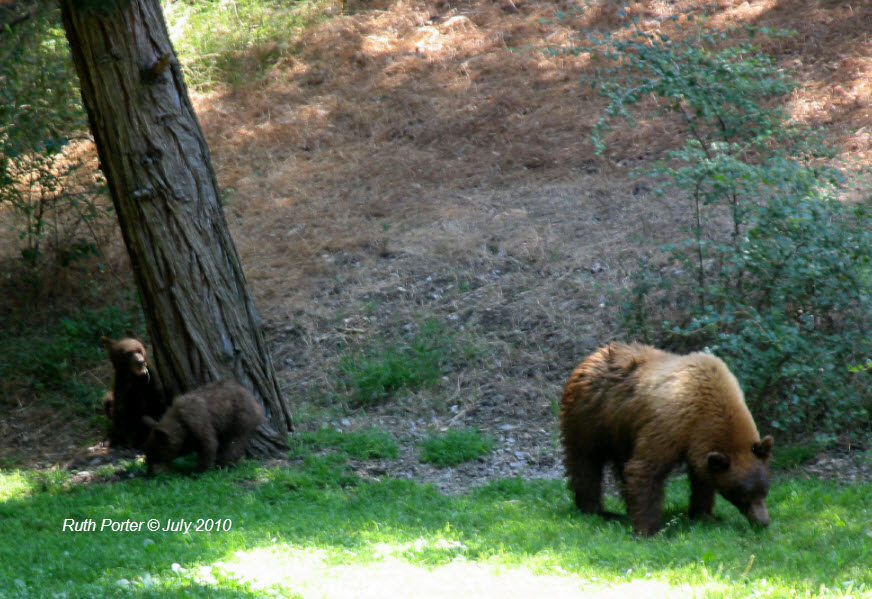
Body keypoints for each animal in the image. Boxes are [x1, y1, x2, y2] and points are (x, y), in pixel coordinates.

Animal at [560, 342, 774, 537]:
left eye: (764, 491)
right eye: (742, 495)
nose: (763, 522)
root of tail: (590, 358)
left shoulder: (700, 444)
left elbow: (702, 478)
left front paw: (705, 515)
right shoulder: (669, 424)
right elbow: (645, 469)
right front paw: (649, 529)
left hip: (621, 432)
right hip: (590, 419)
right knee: (585, 463)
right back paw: (596, 510)